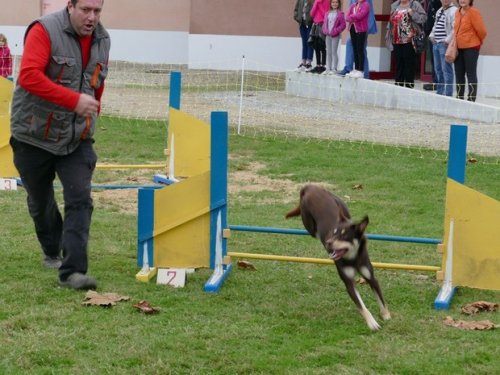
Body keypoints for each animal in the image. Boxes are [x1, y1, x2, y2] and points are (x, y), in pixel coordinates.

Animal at [286, 185, 390, 332]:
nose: (328, 242)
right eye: (334, 233)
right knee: (313, 230)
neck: (353, 258)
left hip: (342, 207)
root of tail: (310, 186)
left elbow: (381, 299)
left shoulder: (371, 277)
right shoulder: (349, 283)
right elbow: (362, 306)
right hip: (309, 223)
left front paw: (386, 315)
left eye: (344, 236)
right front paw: (372, 322)